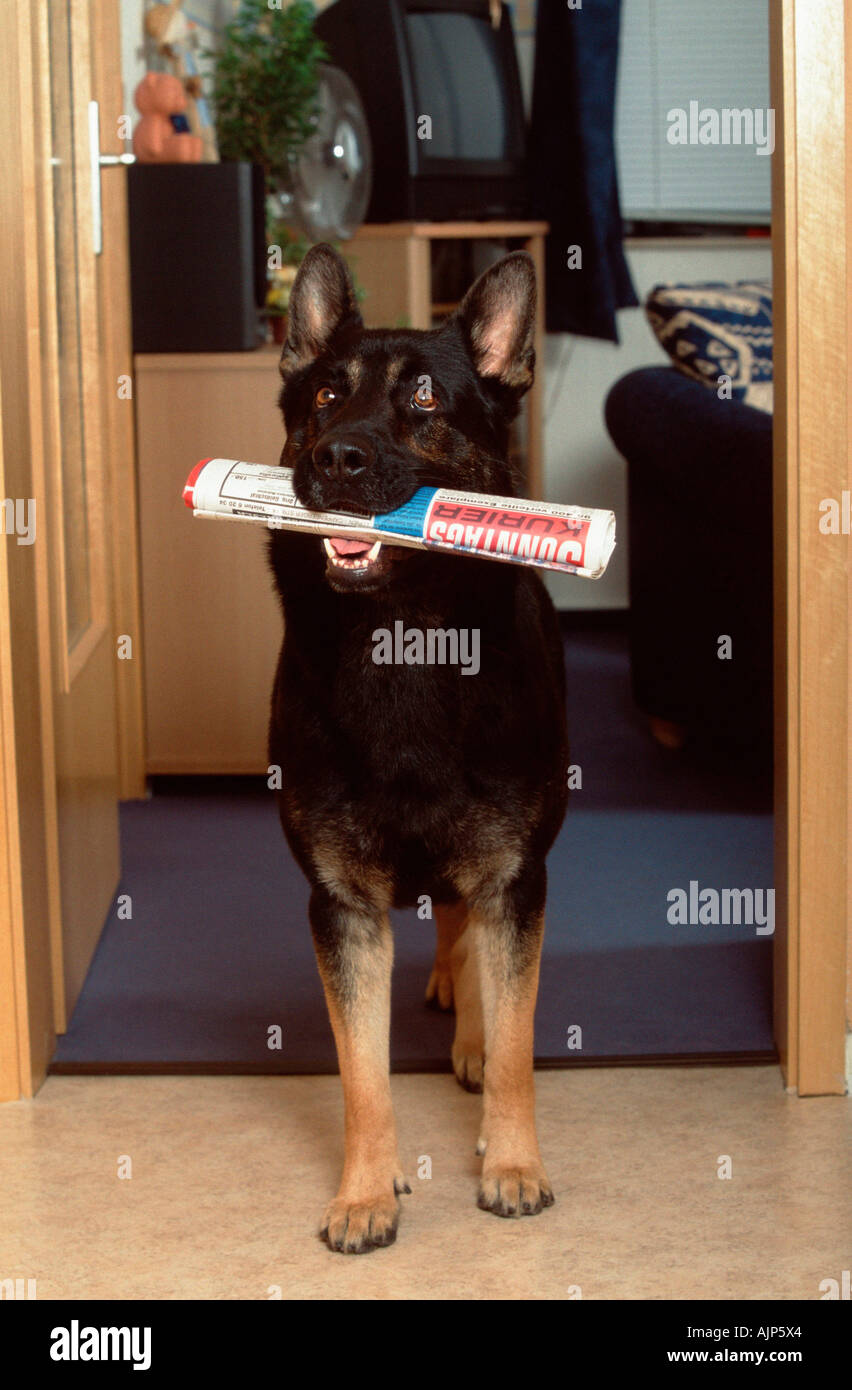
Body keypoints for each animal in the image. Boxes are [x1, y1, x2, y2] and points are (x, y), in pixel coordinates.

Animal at [269, 244, 567, 1256]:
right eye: (325, 396)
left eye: (426, 399)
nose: (334, 457)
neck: (402, 644)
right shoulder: (341, 910)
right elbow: (362, 1073)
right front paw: (365, 1190)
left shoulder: (517, 880)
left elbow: (517, 1043)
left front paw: (512, 1164)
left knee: (474, 938)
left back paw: (468, 1027)